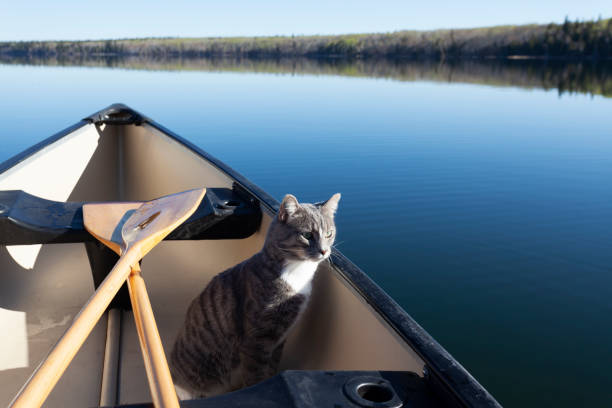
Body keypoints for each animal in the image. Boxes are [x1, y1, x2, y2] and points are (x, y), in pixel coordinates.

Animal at [169, 194, 340, 398]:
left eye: (329, 234)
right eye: (307, 235)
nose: (324, 251)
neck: (294, 271)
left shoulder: (279, 340)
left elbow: (272, 368)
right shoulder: (256, 341)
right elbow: (255, 375)